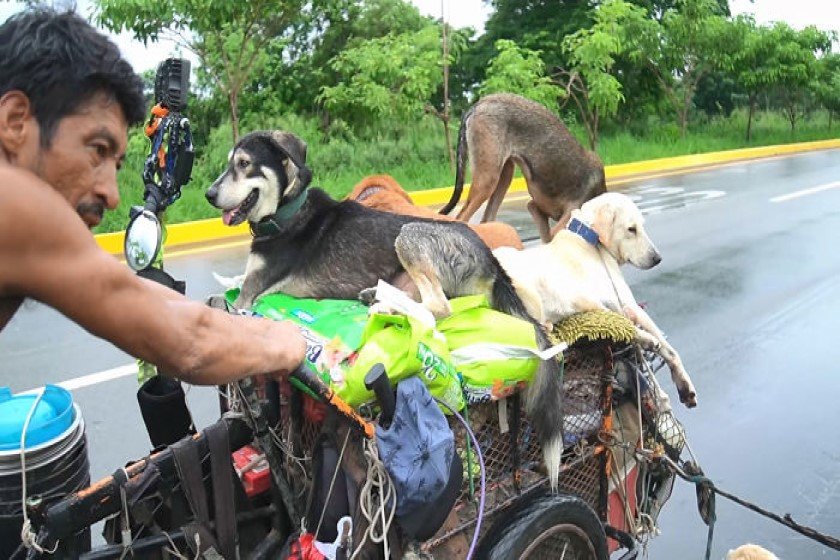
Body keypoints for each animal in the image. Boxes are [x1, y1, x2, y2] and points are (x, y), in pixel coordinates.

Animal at [436, 93, 608, 243]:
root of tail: (480, 103)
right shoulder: (562, 222)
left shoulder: (535, 209)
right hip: (487, 181)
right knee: (461, 218)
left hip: (504, 176)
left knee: (486, 221)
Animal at [496, 191, 700, 406]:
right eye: (631, 229)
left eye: (641, 226)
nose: (657, 259)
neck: (589, 238)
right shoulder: (628, 306)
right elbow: (667, 348)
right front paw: (682, 384)